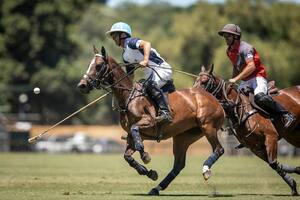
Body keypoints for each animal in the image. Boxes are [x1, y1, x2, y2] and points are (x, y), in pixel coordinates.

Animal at [77, 46, 225, 195]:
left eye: (98, 65)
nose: (82, 85)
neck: (129, 97)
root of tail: (215, 100)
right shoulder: (133, 136)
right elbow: (127, 156)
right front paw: (150, 172)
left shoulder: (149, 123)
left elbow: (135, 132)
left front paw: (145, 155)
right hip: (184, 137)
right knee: (178, 165)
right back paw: (156, 188)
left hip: (207, 126)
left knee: (219, 149)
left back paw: (206, 170)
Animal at [193, 65, 298, 195]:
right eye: (195, 80)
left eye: (204, 81)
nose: (192, 94)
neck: (239, 110)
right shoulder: (255, 147)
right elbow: (274, 164)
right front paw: (293, 183)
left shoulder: (271, 136)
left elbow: (273, 162)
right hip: (293, 135)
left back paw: (288, 117)